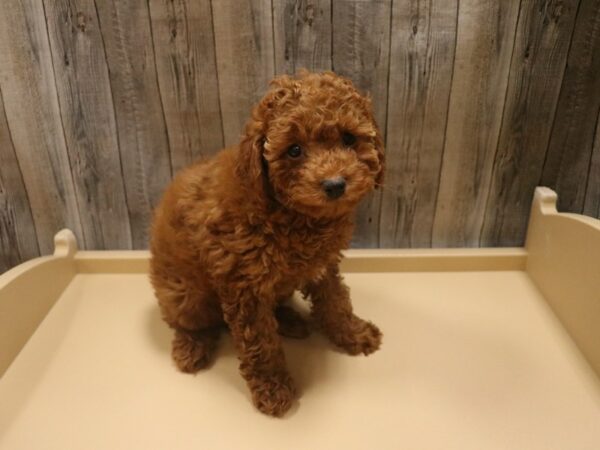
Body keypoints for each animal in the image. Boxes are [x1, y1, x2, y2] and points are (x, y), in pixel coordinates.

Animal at [150, 72, 384, 416]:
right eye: (294, 150)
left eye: (348, 139)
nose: (334, 185)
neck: (289, 212)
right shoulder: (243, 287)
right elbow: (260, 343)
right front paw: (273, 388)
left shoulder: (322, 265)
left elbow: (336, 301)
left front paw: (353, 333)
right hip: (183, 294)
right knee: (189, 322)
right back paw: (191, 347)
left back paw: (290, 321)